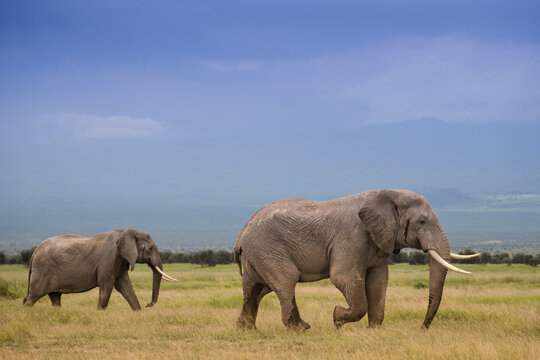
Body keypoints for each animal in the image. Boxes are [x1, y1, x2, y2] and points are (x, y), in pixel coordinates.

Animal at [23, 228, 179, 310]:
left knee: (55, 297)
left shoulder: (119, 260)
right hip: (43, 270)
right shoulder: (109, 260)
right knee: (33, 297)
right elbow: (107, 285)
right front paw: (99, 312)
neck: (125, 232)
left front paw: (138, 311)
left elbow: (125, 285)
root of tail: (35, 252)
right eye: (151, 248)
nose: (148, 304)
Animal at [234, 190, 478, 330]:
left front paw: (375, 331)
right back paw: (301, 329)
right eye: (422, 222)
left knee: (254, 290)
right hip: (268, 250)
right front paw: (336, 319)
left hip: (257, 256)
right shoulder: (352, 236)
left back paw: (246, 330)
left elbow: (378, 281)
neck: (386, 195)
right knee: (286, 283)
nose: (423, 328)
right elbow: (344, 278)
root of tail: (241, 236)